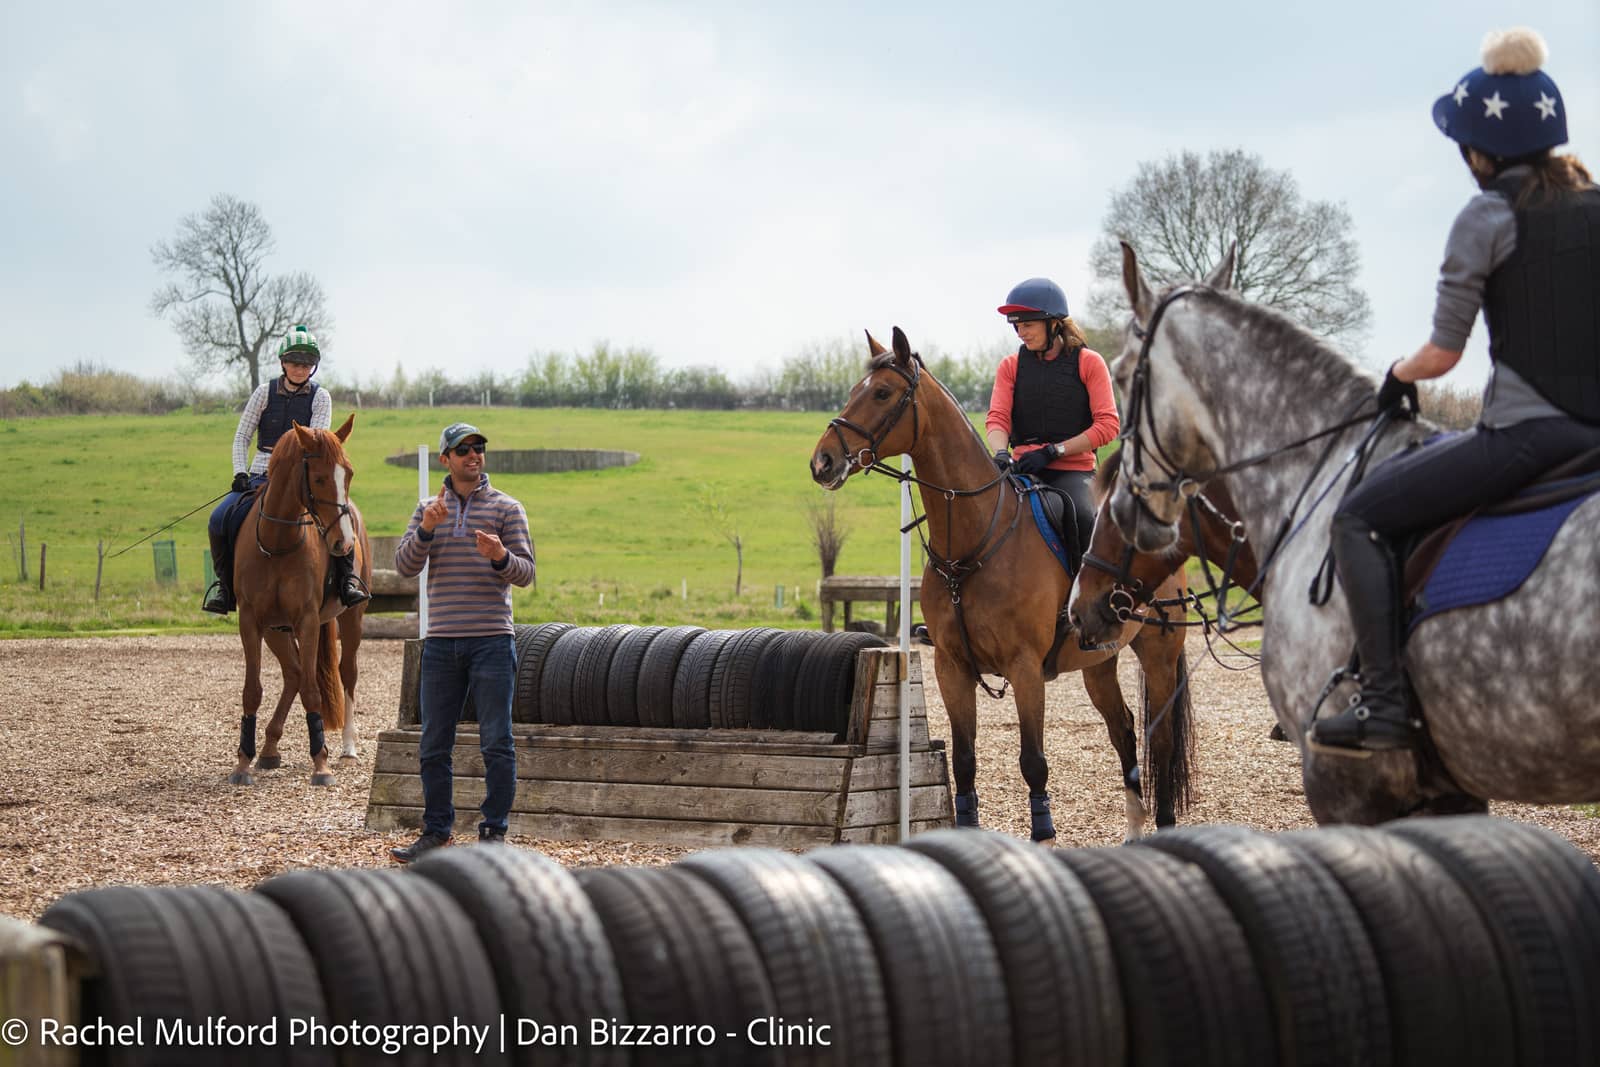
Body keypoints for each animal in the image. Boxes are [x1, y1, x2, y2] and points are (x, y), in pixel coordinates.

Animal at [229, 416, 371, 787]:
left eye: (349, 474)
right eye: (318, 477)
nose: (343, 543)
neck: (278, 542)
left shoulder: (307, 620)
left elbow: (312, 690)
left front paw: (321, 765)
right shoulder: (251, 621)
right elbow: (253, 690)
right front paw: (242, 763)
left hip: (352, 618)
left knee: (346, 673)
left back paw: (347, 747)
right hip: (275, 629)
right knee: (292, 673)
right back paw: (268, 749)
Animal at [811, 328, 1195, 842]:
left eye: (882, 394)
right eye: (856, 389)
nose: (822, 461)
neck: (974, 543)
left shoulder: (1025, 667)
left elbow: (1033, 761)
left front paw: (1043, 832)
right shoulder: (951, 668)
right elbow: (965, 760)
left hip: (1158, 654)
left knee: (1162, 738)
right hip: (1099, 664)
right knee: (1125, 729)